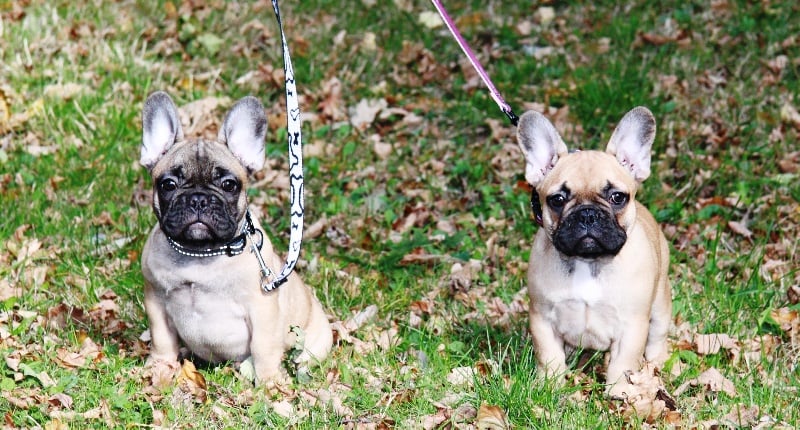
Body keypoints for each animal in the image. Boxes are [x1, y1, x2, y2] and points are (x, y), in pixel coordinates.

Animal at [141, 90, 332, 382]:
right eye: (168, 184)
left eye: (229, 185)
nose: (198, 199)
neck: (201, 254)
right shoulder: (156, 301)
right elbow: (161, 338)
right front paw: (160, 367)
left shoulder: (263, 311)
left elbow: (263, 347)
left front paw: (269, 383)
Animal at [516, 107, 672, 400]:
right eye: (557, 200)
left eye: (617, 197)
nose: (587, 214)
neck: (587, 262)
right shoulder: (542, 318)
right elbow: (549, 356)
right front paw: (550, 385)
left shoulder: (632, 326)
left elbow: (623, 361)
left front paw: (618, 391)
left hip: (660, 306)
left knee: (657, 337)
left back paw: (656, 363)